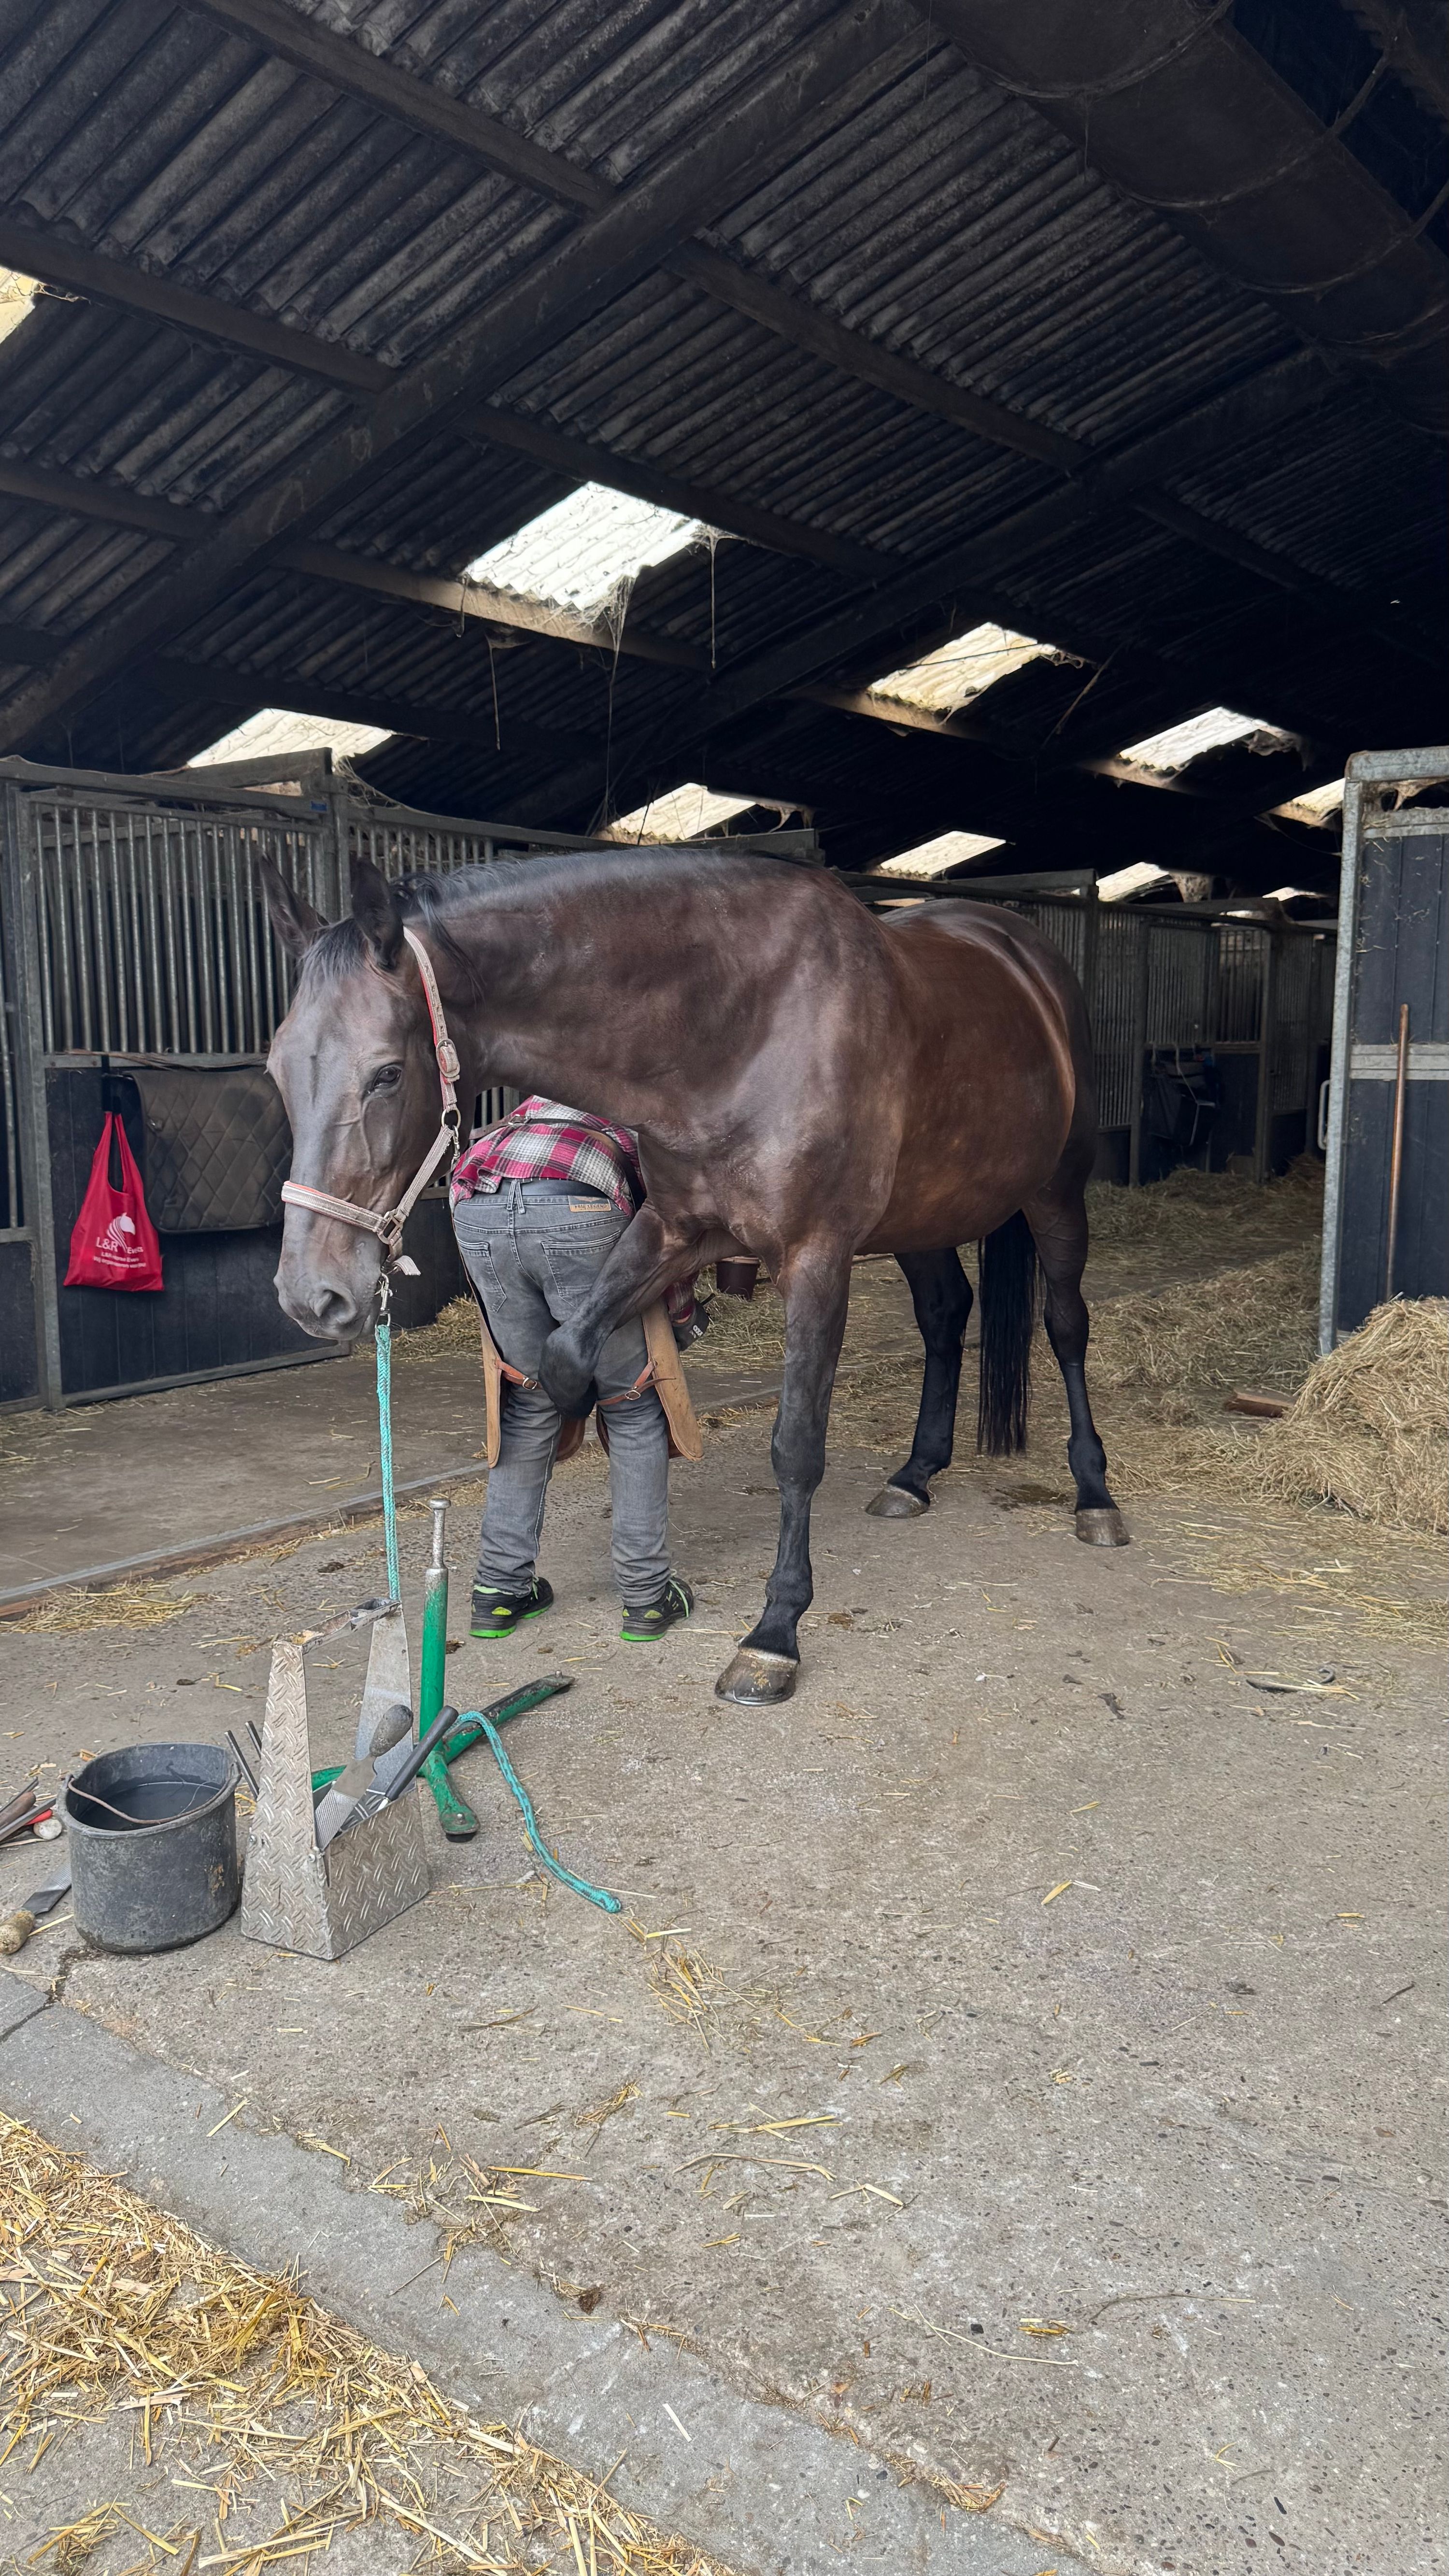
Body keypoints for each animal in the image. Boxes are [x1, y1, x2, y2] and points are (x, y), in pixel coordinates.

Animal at [260, 845, 1127, 1707]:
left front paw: (774, 1633)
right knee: (947, 1316)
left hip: (1056, 1195)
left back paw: (1095, 1497)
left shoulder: (817, 1258)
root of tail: (1023, 949)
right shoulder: (674, 1230)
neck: (739, 1028)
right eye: (275, 1067)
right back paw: (915, 1475)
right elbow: (565, 1356)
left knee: (1066, 1325)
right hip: (923, 1216)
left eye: (385, 1074)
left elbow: (797, 1445)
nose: (311, 1295)